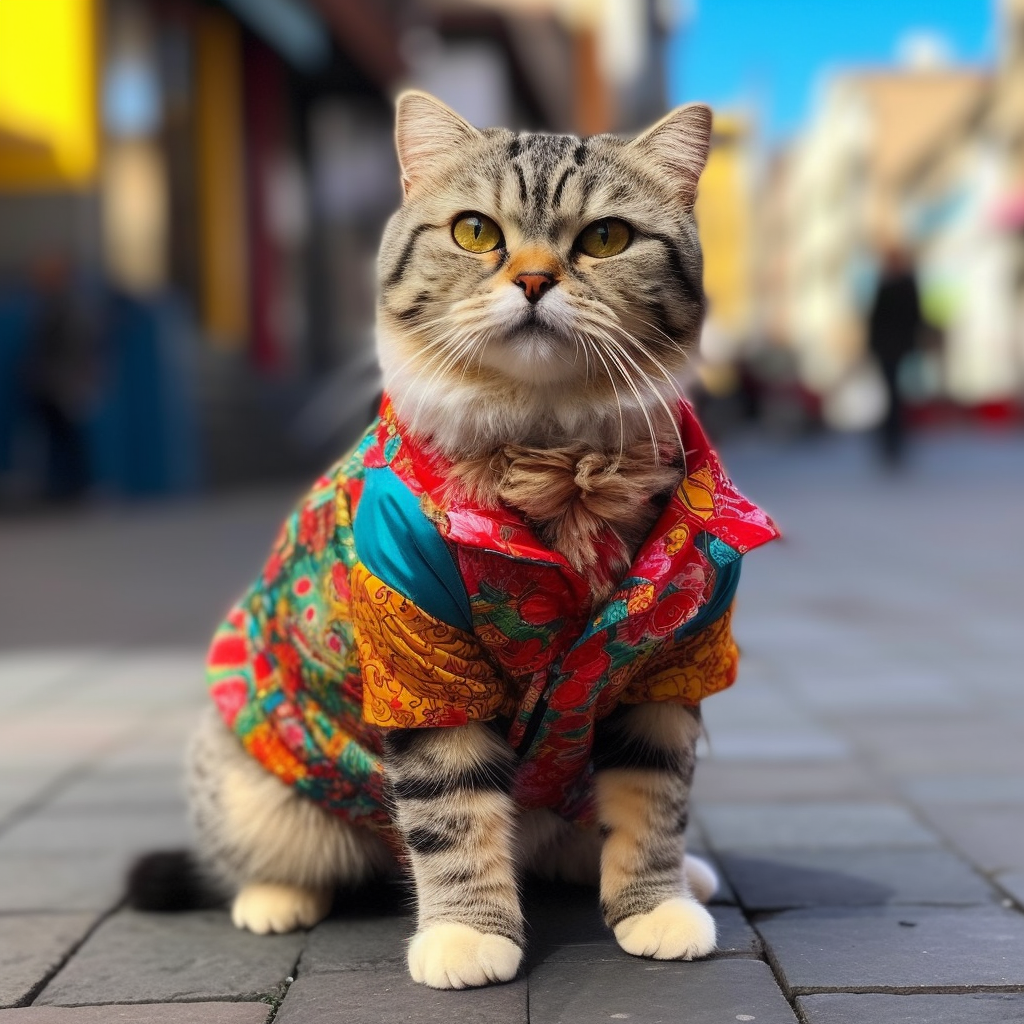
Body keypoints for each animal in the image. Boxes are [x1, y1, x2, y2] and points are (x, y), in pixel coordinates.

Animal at [132, 92, 778, 987]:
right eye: (476, 232)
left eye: (605, 238)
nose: (535, 280)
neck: (552, 455)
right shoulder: (423, 668)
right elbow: (453, 812)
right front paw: (469, 933)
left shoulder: (669, 660)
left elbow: (655, 799)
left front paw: (655, 905)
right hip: (253, 785)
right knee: (266, 854)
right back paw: (273, 898)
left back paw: (685, 873)